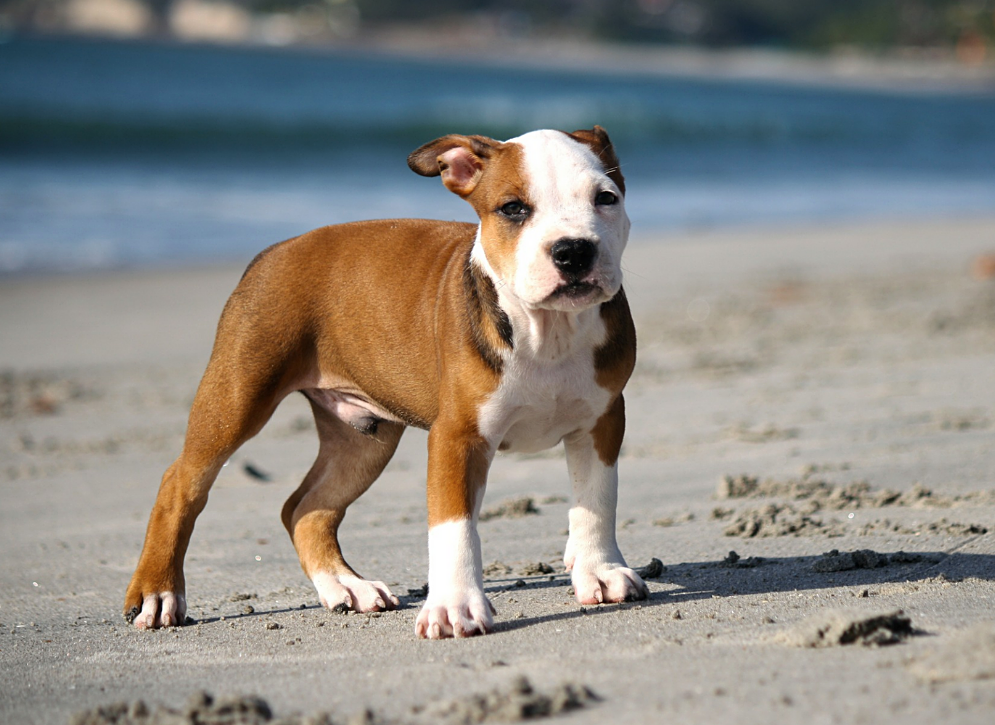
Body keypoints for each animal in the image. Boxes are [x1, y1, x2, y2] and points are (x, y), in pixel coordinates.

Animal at [124, 126, 648, 640]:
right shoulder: (458, 437)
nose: (574, 249)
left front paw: (600, 570)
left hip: (362, 441)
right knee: (181, 483)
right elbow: (455, 528)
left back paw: (345, 586)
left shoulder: (602, 422)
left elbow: (596, 500)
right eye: (513, 209)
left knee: (305, 508)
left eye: (606, 198)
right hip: (237, 396)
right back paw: (157, 593)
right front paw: (455, 606)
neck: (548, 331)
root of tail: (276, 250)